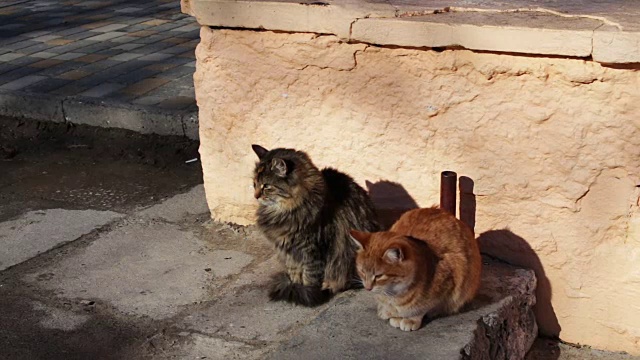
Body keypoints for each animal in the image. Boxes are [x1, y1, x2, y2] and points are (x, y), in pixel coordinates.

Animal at [250, 145, 380, 306]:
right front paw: (296, 286)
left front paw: (308, 293)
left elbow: (310, 277)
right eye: (254, 184)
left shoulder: (312, 249)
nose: (256, 196)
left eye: (266, 186)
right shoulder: (290, 253)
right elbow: (295, 274)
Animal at [350, 207, 480, 330]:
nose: (367, 288)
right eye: (362, 271)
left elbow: (422, 307)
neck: (394, 294)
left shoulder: (449, 284)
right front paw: (391, 313)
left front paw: (411, 319)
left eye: (379, 276)